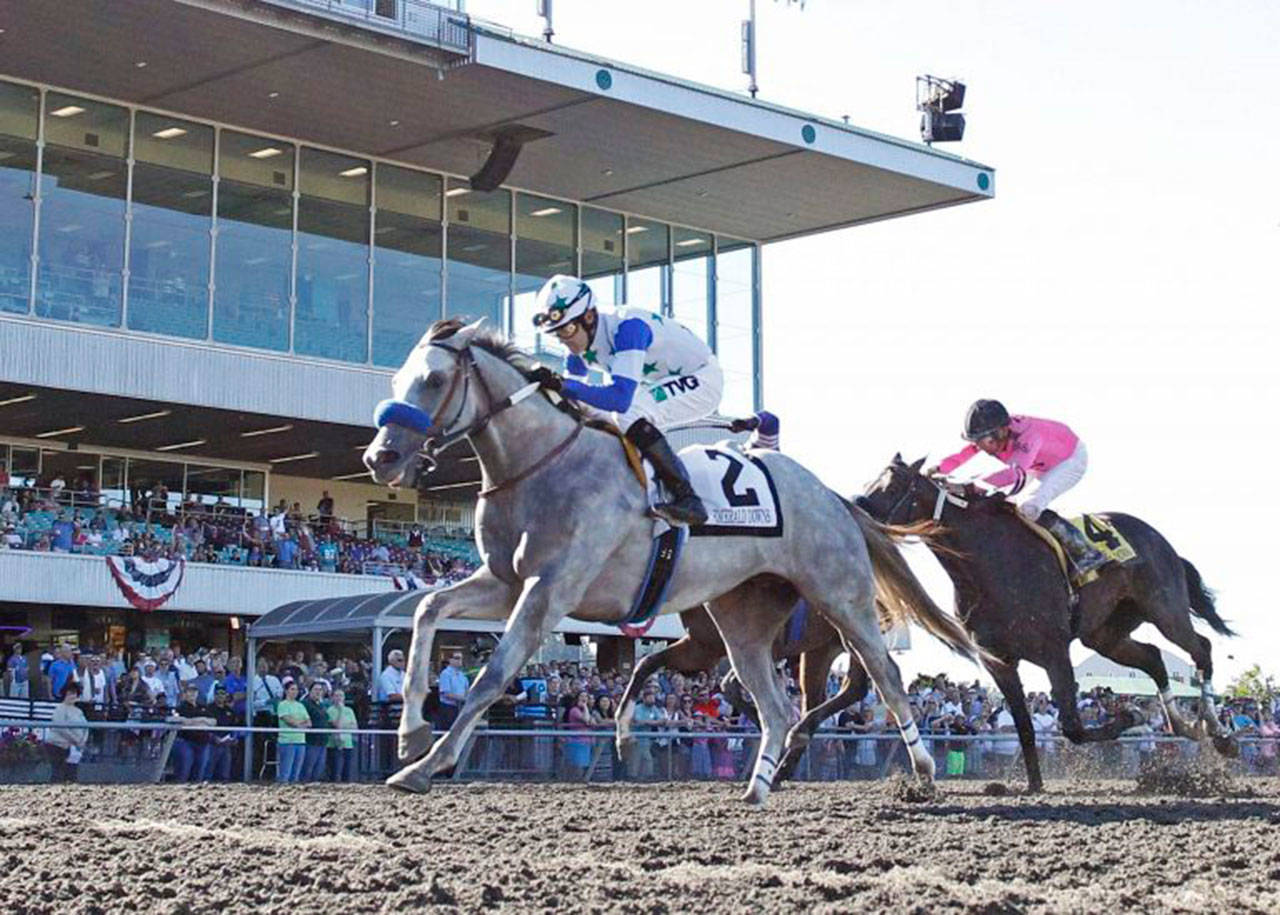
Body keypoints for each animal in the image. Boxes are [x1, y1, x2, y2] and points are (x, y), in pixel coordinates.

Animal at [363, 318, 977, 803]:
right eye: (395, 381)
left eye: (434, 380)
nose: (380, 457)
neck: (541, 466)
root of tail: (830, 495)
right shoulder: (504, 581)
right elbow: (428, 611)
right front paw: (411, 734)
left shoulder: (548, 591)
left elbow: (492, 674)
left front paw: (426, 765)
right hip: (741, 619)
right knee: (775, 705)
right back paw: (758, 786)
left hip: (840, 598)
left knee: (885, 674)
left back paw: (922, 771)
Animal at [849, 455, 1239, 793]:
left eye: (893, 485)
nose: (855, 505)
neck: (988, 562)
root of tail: (1162, 542)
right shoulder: (998, 662)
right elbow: (1024, 725)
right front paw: (1033, 784)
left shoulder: (1054, 651)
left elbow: (1073, 726)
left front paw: (1129, 716)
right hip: (1105, 634)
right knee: (1155, 658)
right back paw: (1185, 725)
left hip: (1164, 610)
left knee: (1200, 648)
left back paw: (1219, 734)